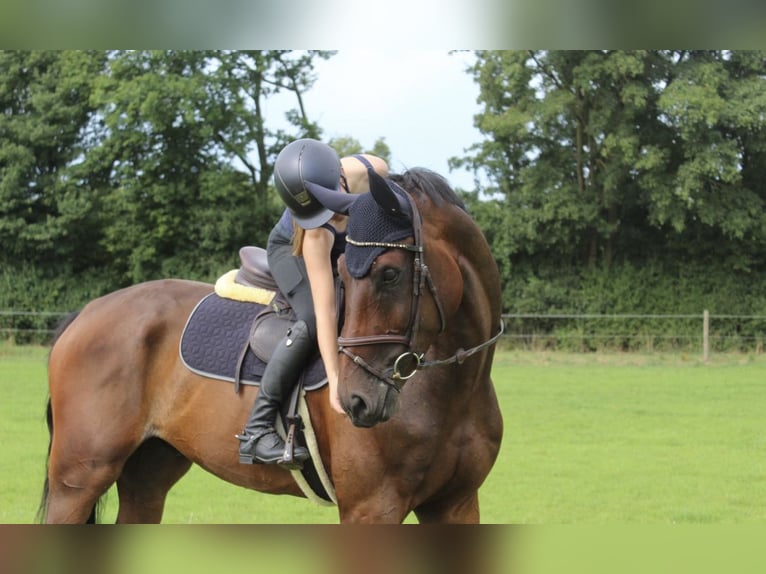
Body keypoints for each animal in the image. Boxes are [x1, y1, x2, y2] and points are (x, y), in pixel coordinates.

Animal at [39, 168, 508, 528]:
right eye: (343, 272)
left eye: (389, 274)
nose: (355, 401)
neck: (452, 391)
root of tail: (87, 312)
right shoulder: (372, 508)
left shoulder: (455, 505)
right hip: (78, 478)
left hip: (147, 475)